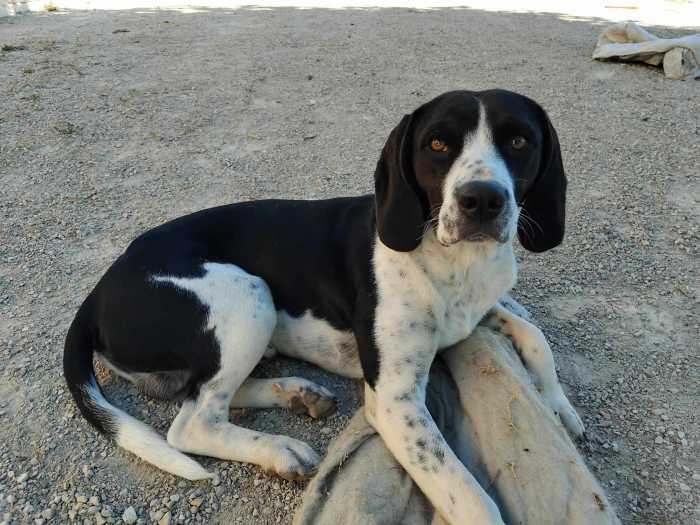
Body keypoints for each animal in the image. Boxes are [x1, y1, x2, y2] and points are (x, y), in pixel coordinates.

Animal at [65, 90, 584, 524]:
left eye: (519, 140)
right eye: (437, 144)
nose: (482, 199)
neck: (454, 261)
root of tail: (97, 291)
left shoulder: (472, 315)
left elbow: (534, 335)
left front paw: (558, 406)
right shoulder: (395, 402)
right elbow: (469, 495)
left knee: (204, 393)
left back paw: (296, 393)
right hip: (250, 294)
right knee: (194, 421)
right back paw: (280, 448)